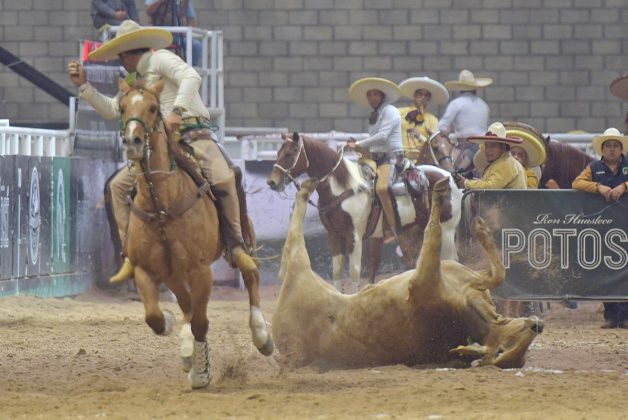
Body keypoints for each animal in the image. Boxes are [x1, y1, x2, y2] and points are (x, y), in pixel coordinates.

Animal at [118, 77, 272, 388]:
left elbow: (201, 321)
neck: (161, 205)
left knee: (251, 275)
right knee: (186, 303)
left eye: (153, 108)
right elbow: (154, 317)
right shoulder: (145, 269)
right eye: (121, 107)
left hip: (243, 241)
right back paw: (187, 347)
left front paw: (201, 374)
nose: (132, 142)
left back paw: (261, 335)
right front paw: (173, 327)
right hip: (173, 274)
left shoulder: (201, 271)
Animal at [264, 133, 462, 294]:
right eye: (278, 152)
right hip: (416, 231)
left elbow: (355, 272)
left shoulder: (354, 236)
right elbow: (337, 272)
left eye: (290, 154)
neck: (343, 187)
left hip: (447, 230)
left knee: (451, 261)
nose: (272, 182)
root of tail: (449, 176)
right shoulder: (333, 236)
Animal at [272, 176, 544, 370]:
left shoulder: (427, 274)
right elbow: (498, 272)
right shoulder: (453, 276)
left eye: (509, 347)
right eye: (515, 341)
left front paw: (443, 195)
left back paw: (305, 187)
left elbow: (434, 233)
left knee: (291, 245)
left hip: (300, 267)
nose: (536, 326)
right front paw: (480, 227)